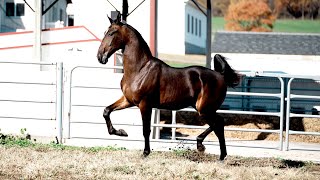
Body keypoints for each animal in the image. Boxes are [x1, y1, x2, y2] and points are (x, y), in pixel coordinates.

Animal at [96, 14, 239, 160]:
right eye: (105, 32)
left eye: (112, 33)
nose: (100, 56)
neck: (139, 69)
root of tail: (220, 76)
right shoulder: (128, 100)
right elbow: (106, 111)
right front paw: (120, 132)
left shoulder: (144, 104)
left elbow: (146, 130)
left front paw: (145, 152)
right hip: (203, 109)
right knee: (218, 124)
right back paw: (210, 150)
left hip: (204, 109)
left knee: (219, 123)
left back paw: (212, 151)